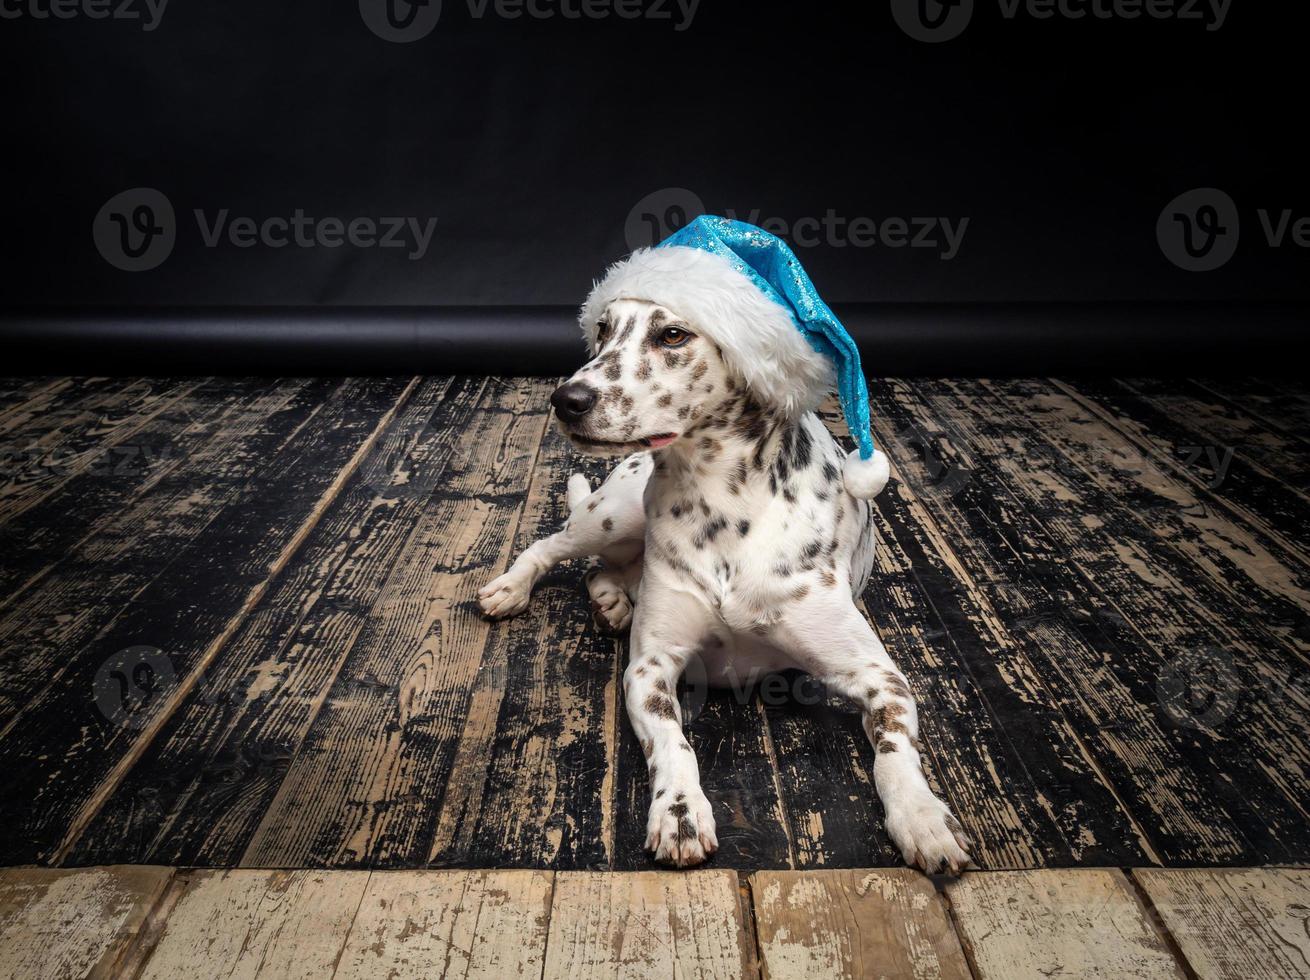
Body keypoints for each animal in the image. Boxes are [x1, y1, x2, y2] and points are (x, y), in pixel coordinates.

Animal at [476, 241, 969, 869]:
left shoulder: (881, 677)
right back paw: (514, 588)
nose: (567, 399)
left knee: (607, 569)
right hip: (613, 513)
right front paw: (680, 811)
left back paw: (613, 601)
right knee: (556, 545)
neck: (723, 505)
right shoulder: (650, 669)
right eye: (603, 331)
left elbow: (894, 747)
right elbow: (674, 744)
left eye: (673, 334)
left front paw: (922, 815)